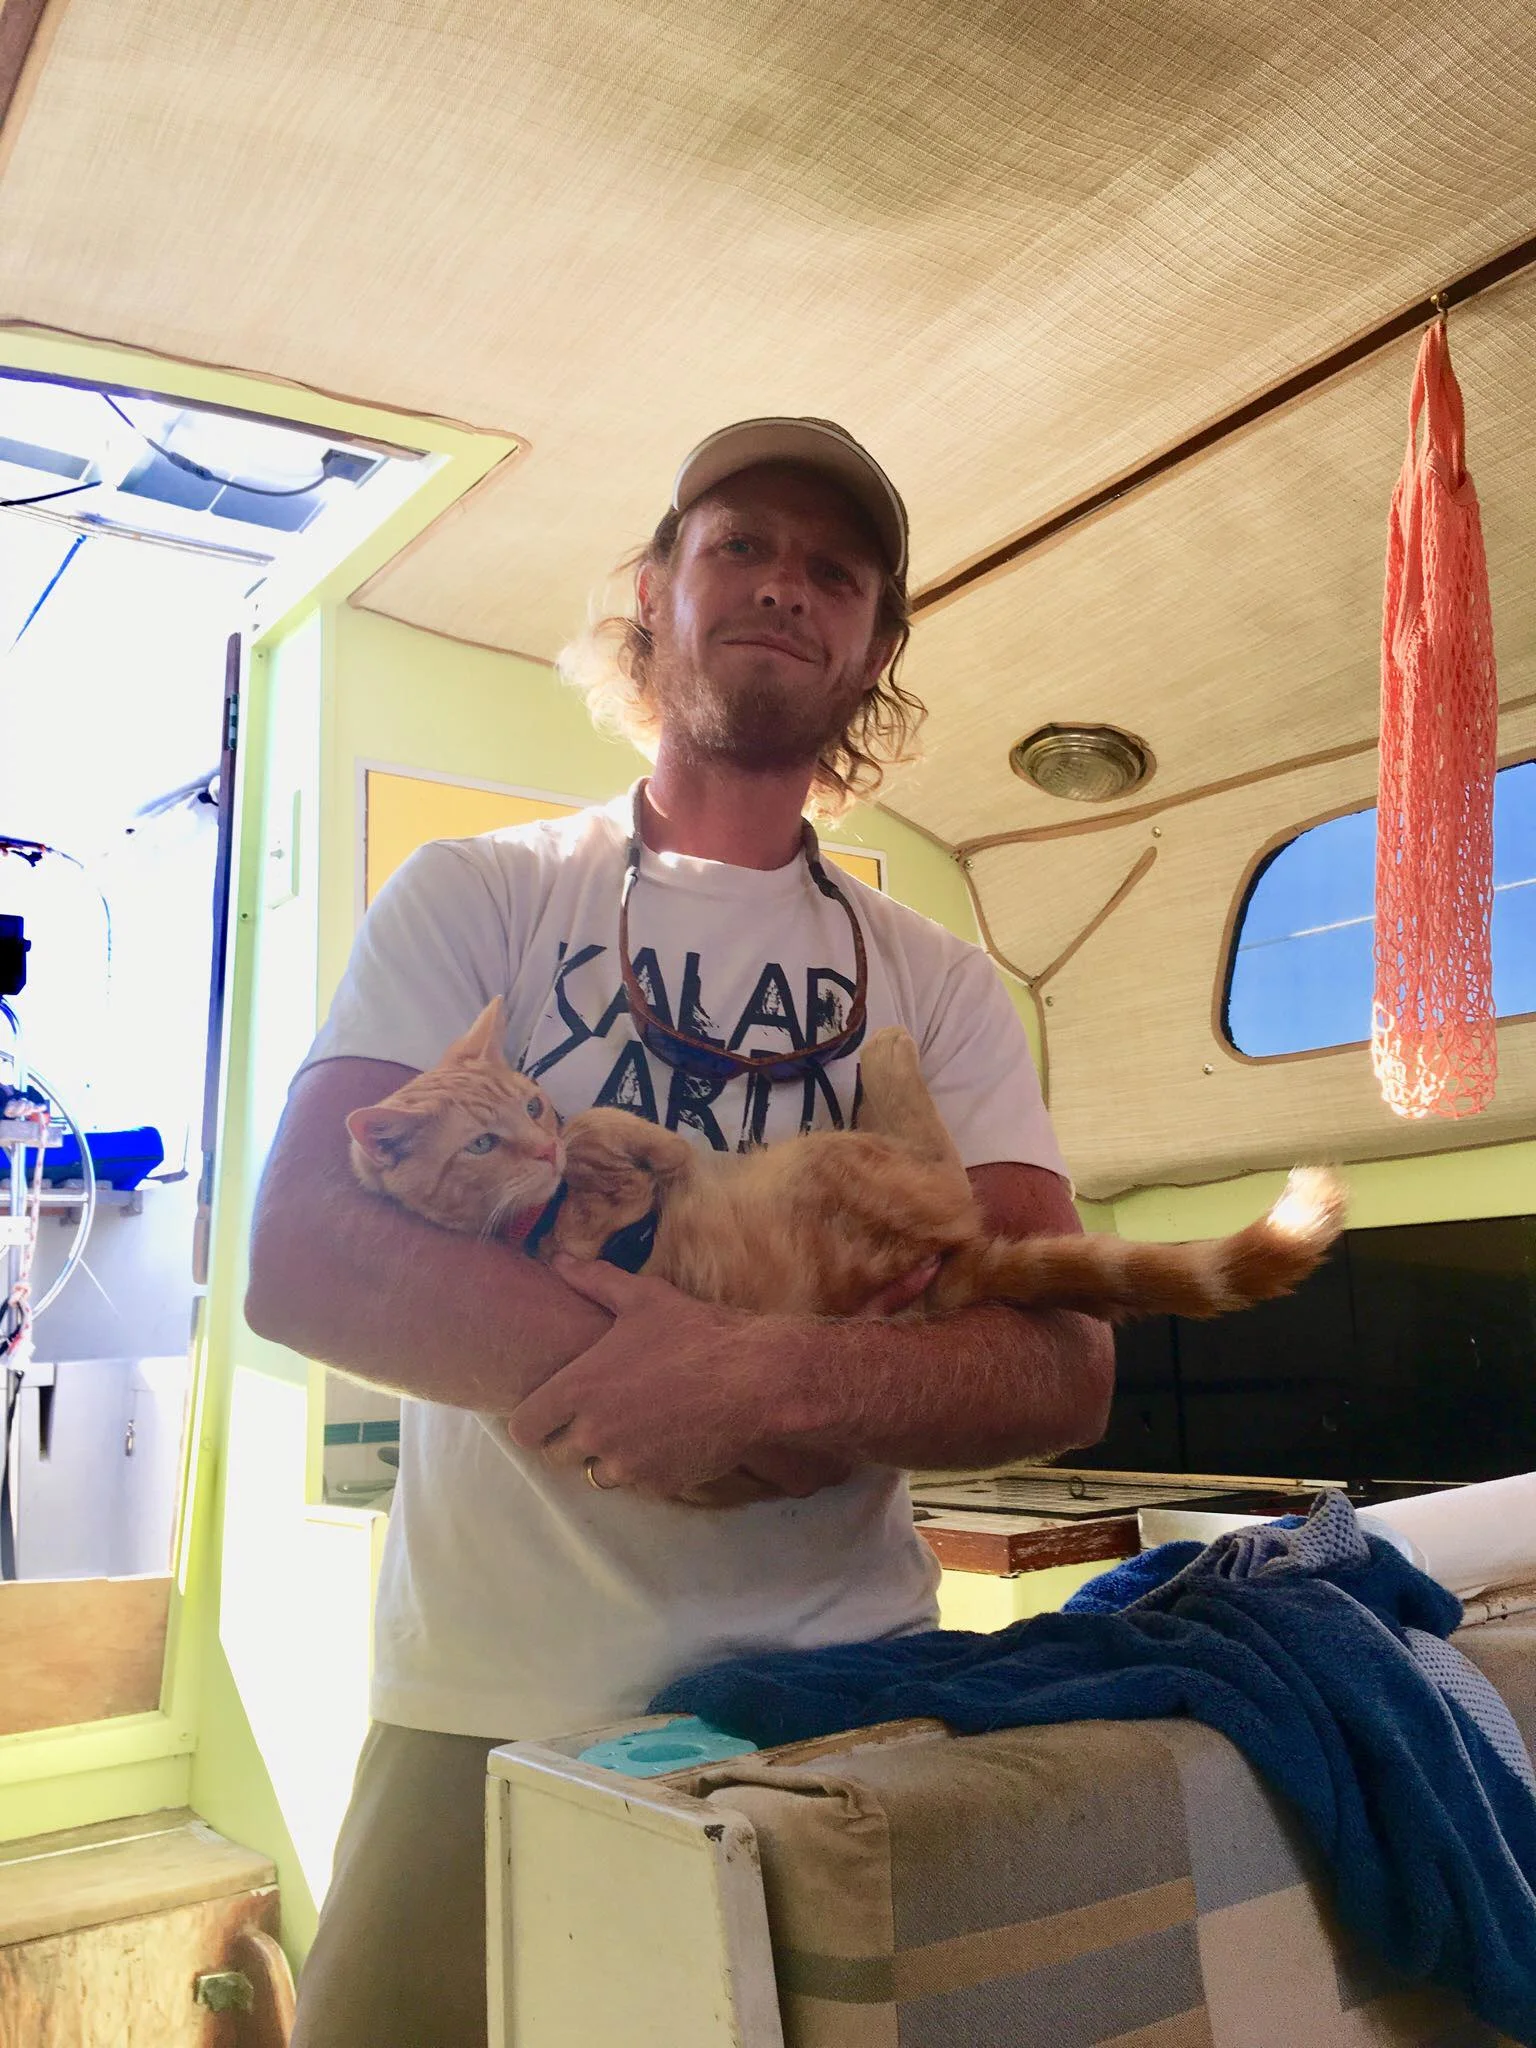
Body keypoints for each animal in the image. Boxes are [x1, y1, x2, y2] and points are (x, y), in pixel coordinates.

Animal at [346, 997, 1346, 1324]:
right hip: (847, 1163)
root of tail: (955, 1271)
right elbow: (624, 1145)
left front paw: (602, 1143)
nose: (542, 1141)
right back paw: (886, 1045)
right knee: (932, 1148)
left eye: (527, 1103)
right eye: (481, 1143)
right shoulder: (598, 1233)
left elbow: (616, 1132)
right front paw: (617, 1153)